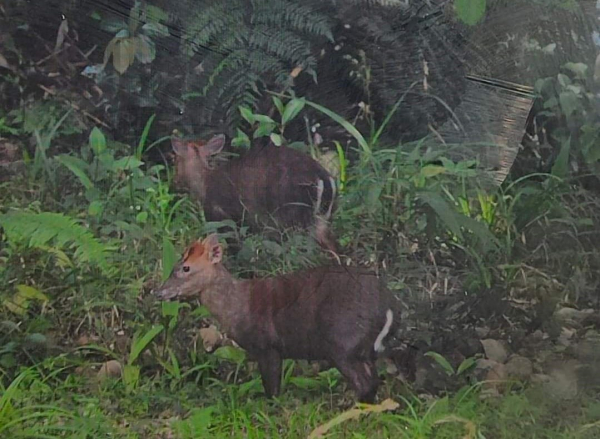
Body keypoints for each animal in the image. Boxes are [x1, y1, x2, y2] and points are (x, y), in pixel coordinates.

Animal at [154, 235, 398, 404]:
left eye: (186, 267)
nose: (159, 292)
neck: (237, 307)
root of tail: (387, 306)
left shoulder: (267, 346)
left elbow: (272, 390)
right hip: (363, 349)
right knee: (373, 381)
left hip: (342, 343)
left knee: (365, 383)